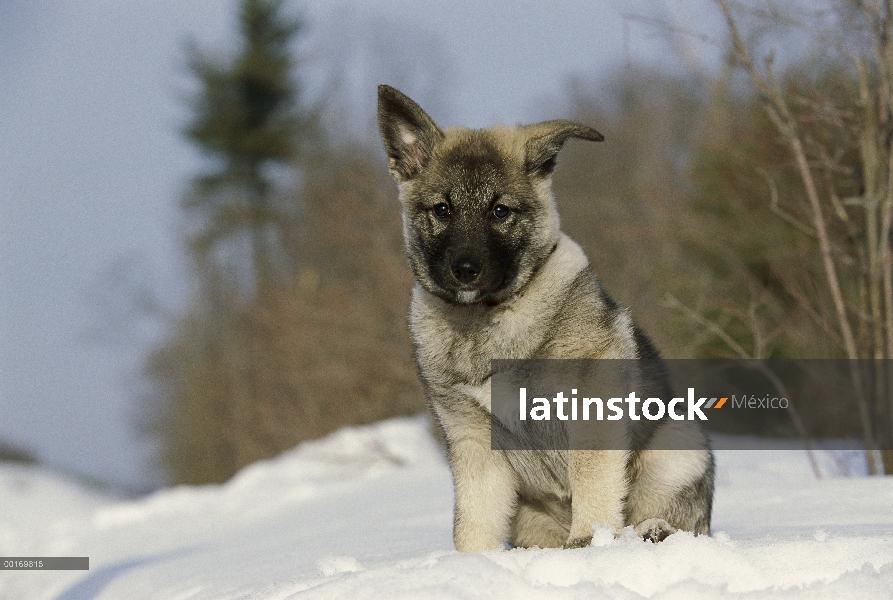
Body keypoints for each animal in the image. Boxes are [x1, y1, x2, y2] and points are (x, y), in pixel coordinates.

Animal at [374, 85, 712, 552]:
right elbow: (473, 520)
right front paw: (471, 562)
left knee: (679, 522)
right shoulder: (471, 437)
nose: (465, 270)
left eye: (500, 212)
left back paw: (651, 532)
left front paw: (590, 541)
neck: (484, 320)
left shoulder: (592, 408)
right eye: (442, 210)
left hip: (677, 448)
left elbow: (592, 480)